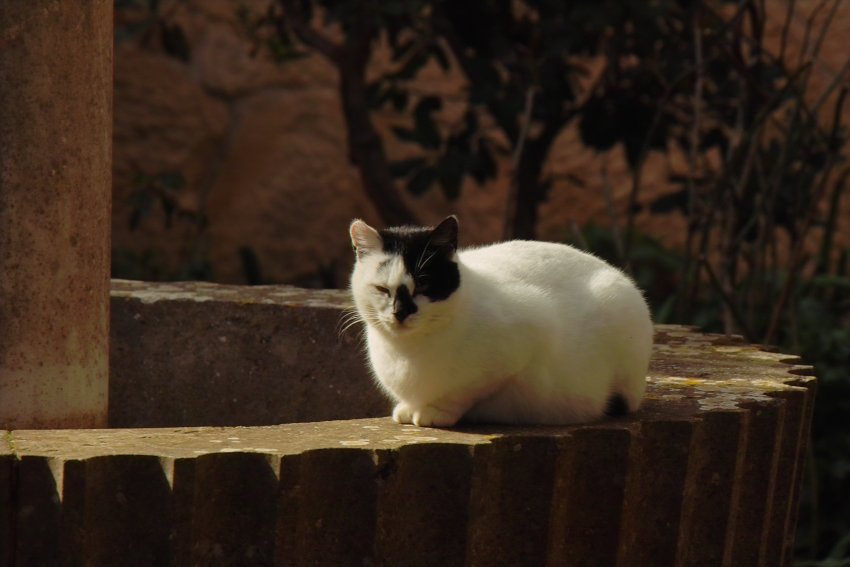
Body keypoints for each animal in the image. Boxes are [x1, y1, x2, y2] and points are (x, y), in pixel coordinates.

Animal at [348, 215, 652, 428]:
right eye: (383, 289)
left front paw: (436, 411)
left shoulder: (525, 336)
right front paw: (408, 408)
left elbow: (462, 393)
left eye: (423, 284)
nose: (401, 312)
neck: (406, 352)